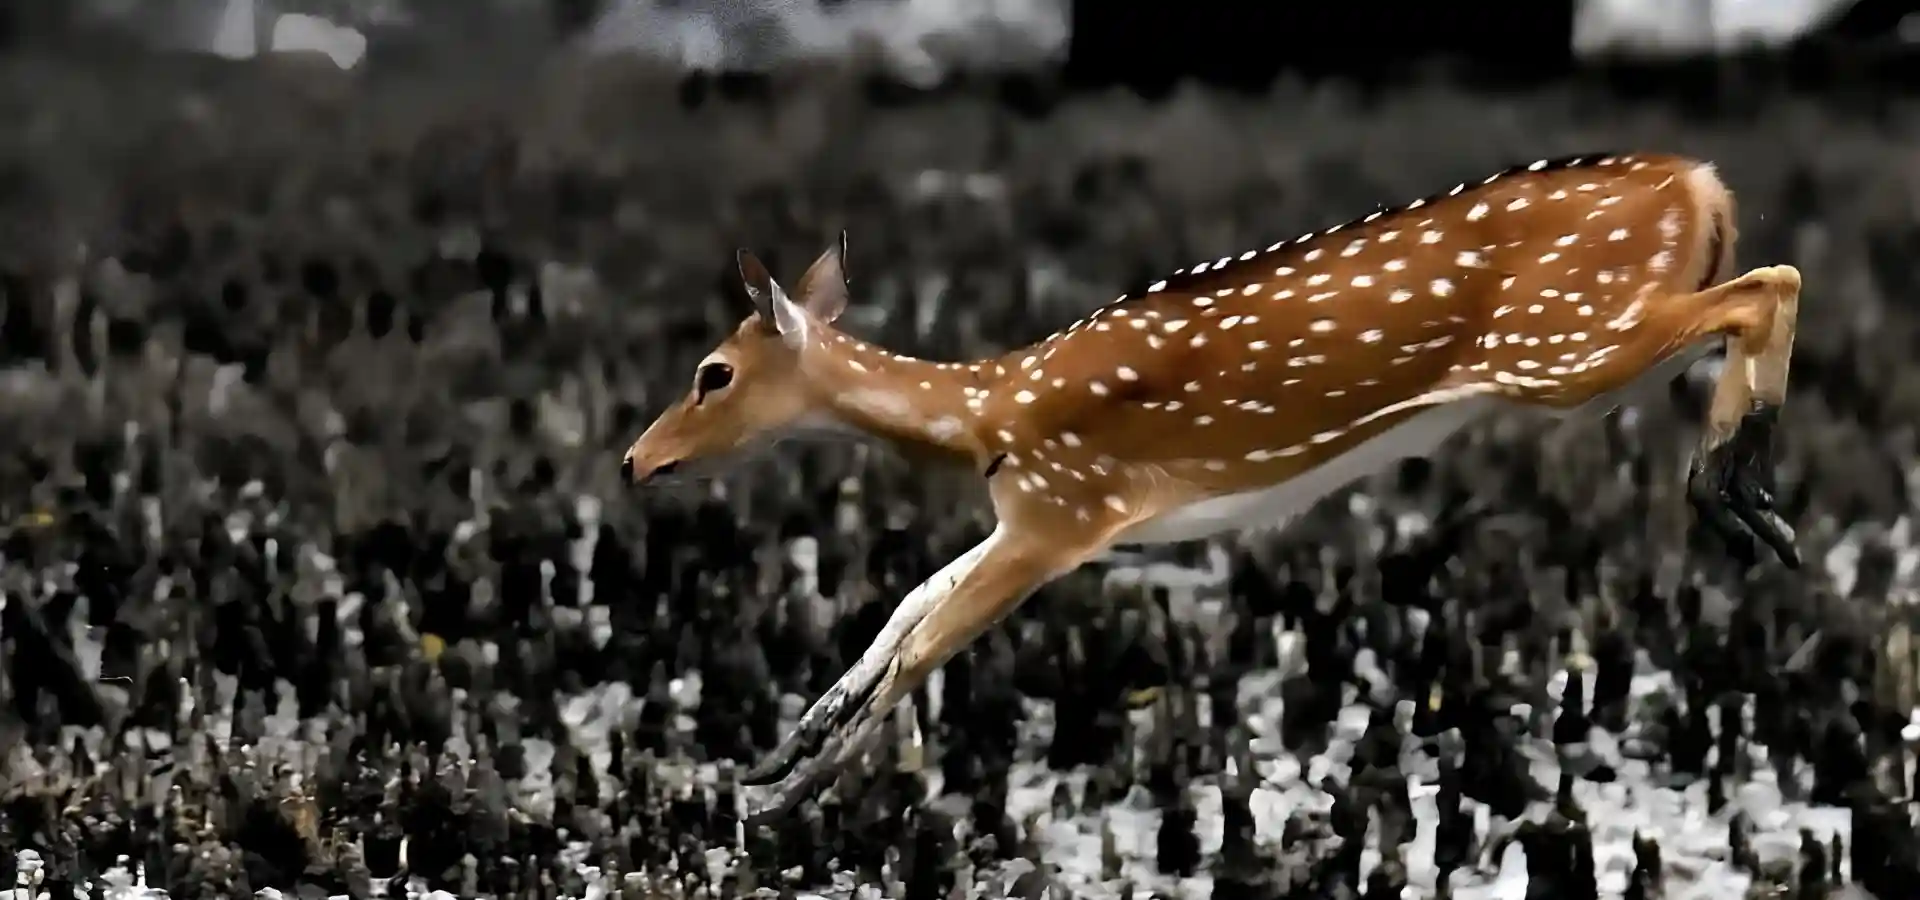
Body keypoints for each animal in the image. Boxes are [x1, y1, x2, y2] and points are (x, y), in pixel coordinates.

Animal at [620, 152, 1803, 822]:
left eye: (711, 372)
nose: (635, 461)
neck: (985, 415)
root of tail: (1695, 180)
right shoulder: (1031, 512)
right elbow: (906, 604)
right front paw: (785, 747)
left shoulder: (1064, 509)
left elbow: (926, 640)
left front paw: (790, 795)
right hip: (1589, 345)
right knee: (1758, 286)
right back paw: (1749, 488)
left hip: (1563, 343)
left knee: (1771, 281)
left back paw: (1733, 480)